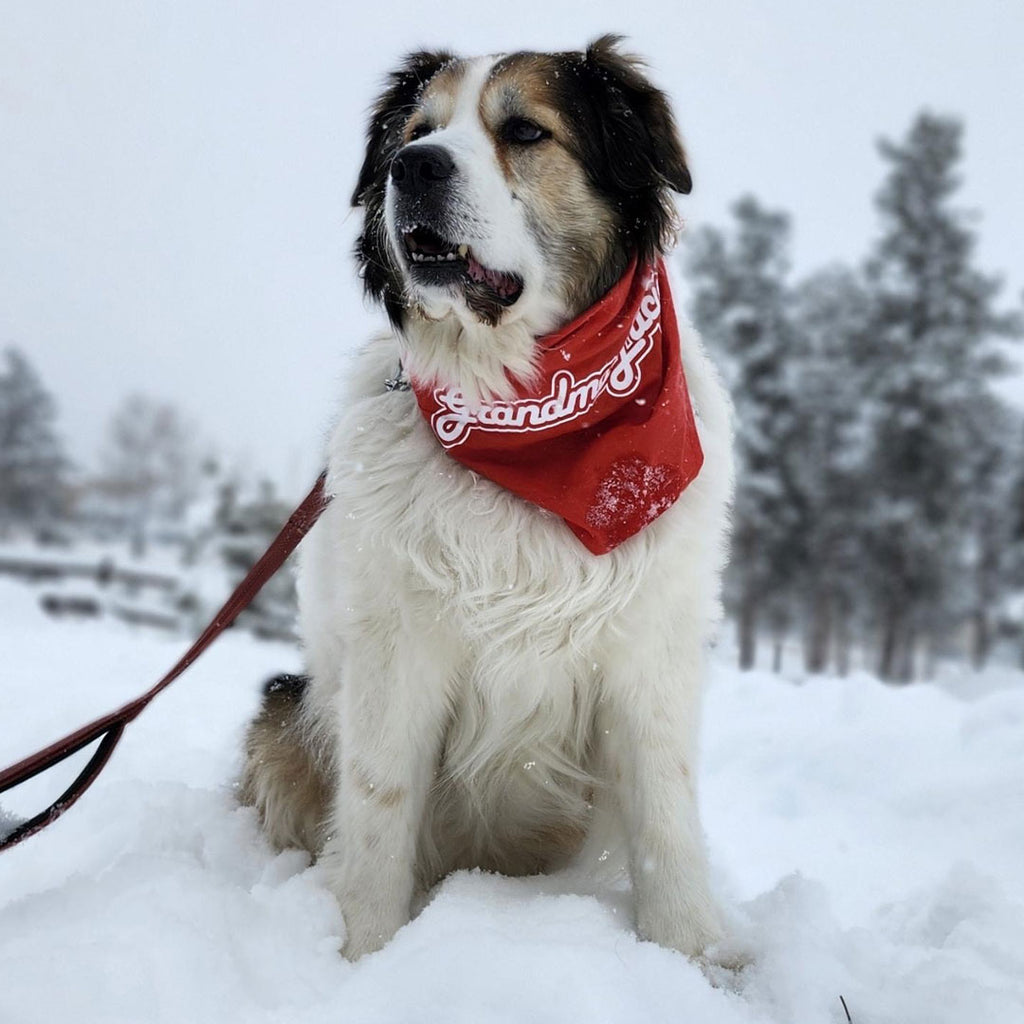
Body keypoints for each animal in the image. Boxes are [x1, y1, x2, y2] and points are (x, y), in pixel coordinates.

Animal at [239, 34, 737, 958]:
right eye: (417, 132)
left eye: (525, 131)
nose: (412, 168)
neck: (526, 407)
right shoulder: (395, 656)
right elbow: (378, 814)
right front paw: (365, 959)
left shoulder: (650, 653)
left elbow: (666, 821)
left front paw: (694, 960)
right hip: (285, 710)